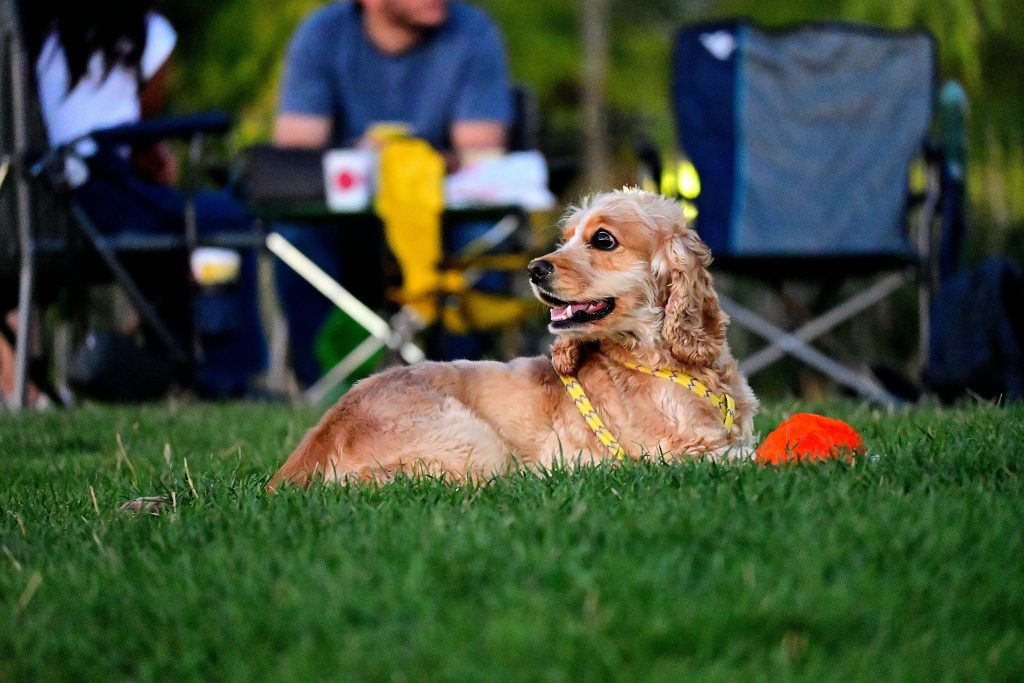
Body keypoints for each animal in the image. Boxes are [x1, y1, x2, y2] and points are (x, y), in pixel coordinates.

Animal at [268, 188, 757, 485]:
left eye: (603, 239)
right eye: (566, 238)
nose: (534, 268)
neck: (658, 359)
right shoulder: (667, 455)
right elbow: (747, 457)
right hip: (475, 445)